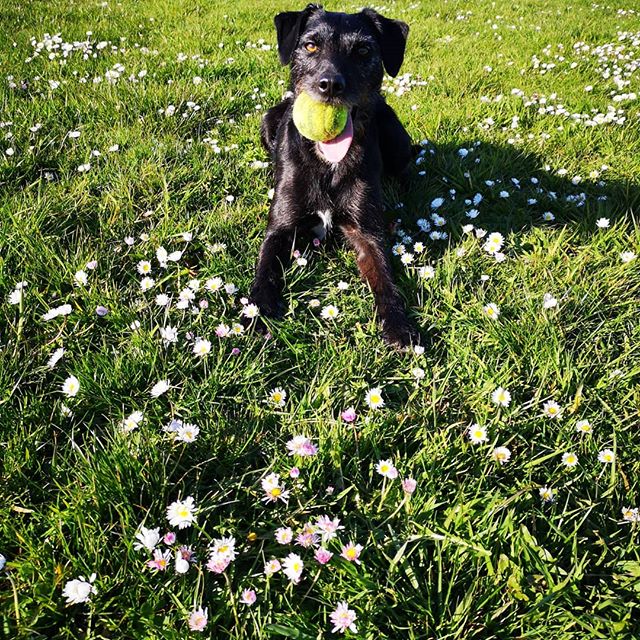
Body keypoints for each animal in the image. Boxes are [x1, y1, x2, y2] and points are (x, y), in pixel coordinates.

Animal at [248, 2, 418, 348]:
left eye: (363, 50)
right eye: (310, 45)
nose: (330, 85)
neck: (328, 165)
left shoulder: (367, 233)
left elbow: (385, 278)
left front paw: (397, 324)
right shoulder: (280, 229)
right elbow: (266, 269)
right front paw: (258, 311)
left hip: (394, 134)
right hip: (268, 119)